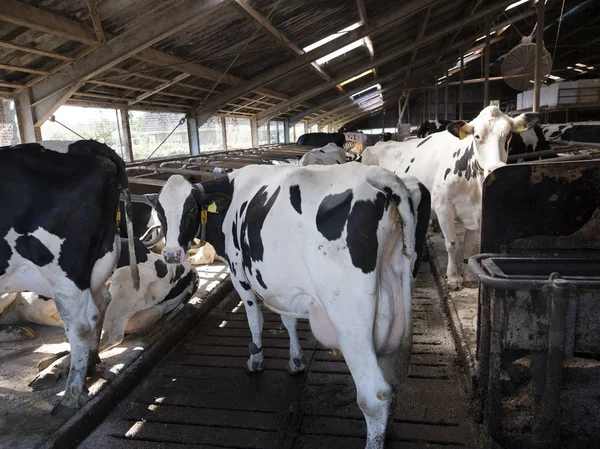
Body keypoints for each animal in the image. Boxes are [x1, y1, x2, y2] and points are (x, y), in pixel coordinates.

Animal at [0, 140, 138, 412]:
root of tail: (87, 145)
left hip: (63, 271)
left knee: (80, 327)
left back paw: (71, 395)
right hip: (99, 261)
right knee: (100, 305)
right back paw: (89, 367)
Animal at [148, 164, 434, 448]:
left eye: (191, 209)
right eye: (160, 212)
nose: (171, 254)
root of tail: (380, 175)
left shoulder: (239, 273)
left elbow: (255, 319)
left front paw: (255, 360)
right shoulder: (282, 287)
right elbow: (288, 320)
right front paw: (296, 361)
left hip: (350, 319)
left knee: (374, 396)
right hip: (397, 302)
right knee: (393, 378)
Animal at [360, 104, 540, 288]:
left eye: (509, 135)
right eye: (477, 136)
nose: (495, 168)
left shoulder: (477, 212)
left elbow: (469, 245)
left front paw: (468, 274)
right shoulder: (444, 208)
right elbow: (452, 243)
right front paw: (453, 277)